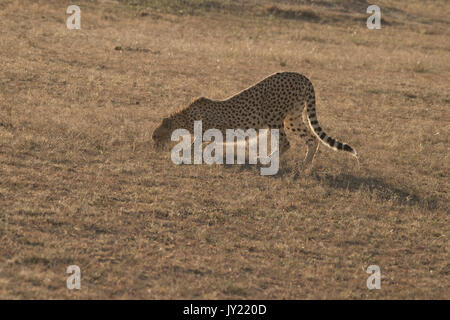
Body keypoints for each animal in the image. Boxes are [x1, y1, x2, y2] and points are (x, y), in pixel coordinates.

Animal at [153, 71, 356, 169]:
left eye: (155, 136)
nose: (154, 148)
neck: (185, 116)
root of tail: (302, 76)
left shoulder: (210, 130)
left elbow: (195, 144)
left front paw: (182, 154)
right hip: (292, 118)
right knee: (312, 138)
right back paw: (305, 165)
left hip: (273, 116)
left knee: (285, 142)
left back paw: (265, 160)